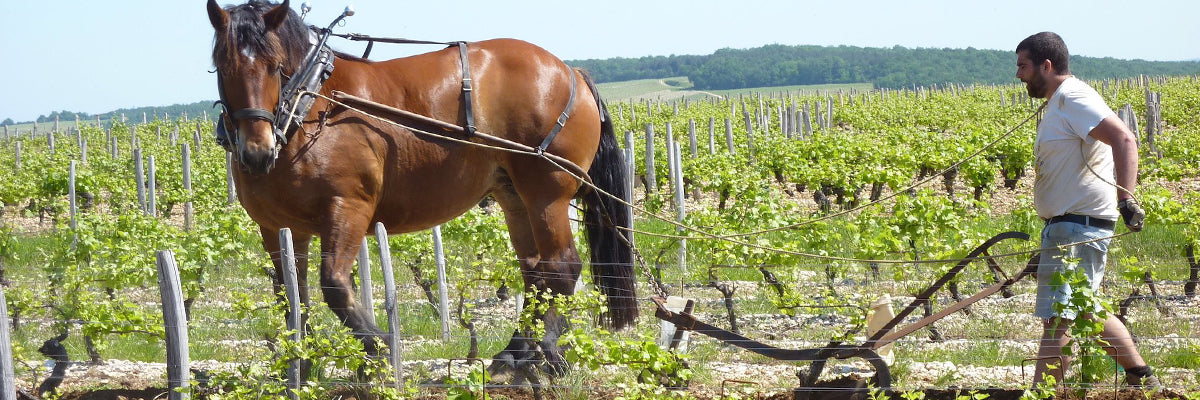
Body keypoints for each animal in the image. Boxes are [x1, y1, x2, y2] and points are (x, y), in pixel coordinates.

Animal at [206, 0, 638, 374]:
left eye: (275, 66)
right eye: (223, 67)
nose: (257, 152)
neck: (308, 105)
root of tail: (570, 71)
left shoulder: (348, 207)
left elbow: (335, 284)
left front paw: (380, 347)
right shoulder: (278, 227)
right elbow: (293, 297)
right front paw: (303, 363)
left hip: (546, 192)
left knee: (562, 266)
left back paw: (549, 352)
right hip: (514, 195)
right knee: (534, 270)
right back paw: (516, 350)